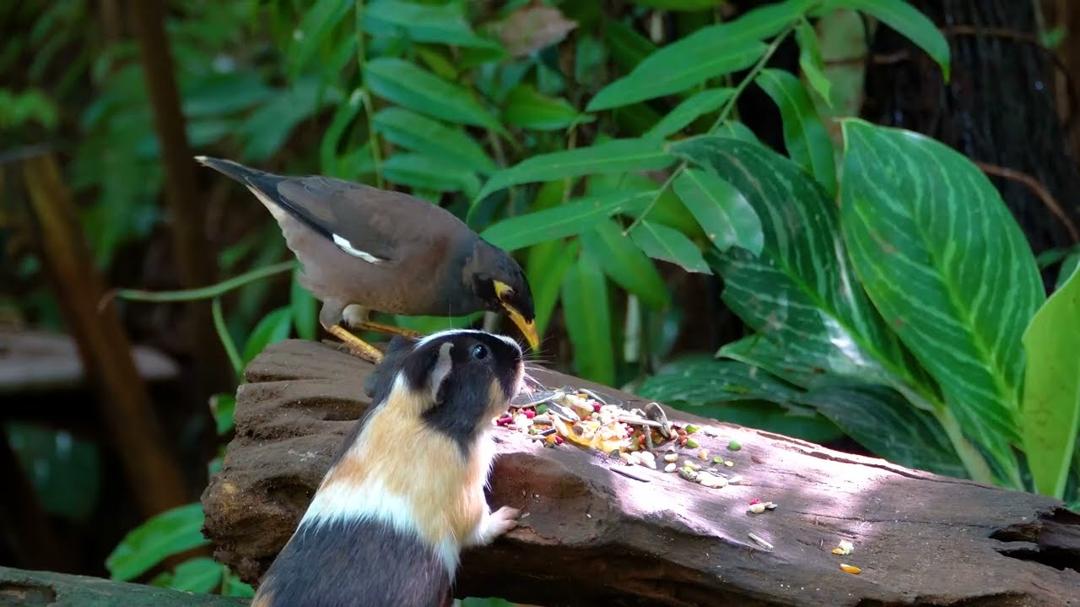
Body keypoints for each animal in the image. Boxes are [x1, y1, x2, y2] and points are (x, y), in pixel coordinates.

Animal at [251, 329, 525, 607]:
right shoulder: (468, 499)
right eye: (479, 352)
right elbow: (480, 527)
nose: (516, 348)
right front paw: (511, 516)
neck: (402, 408)